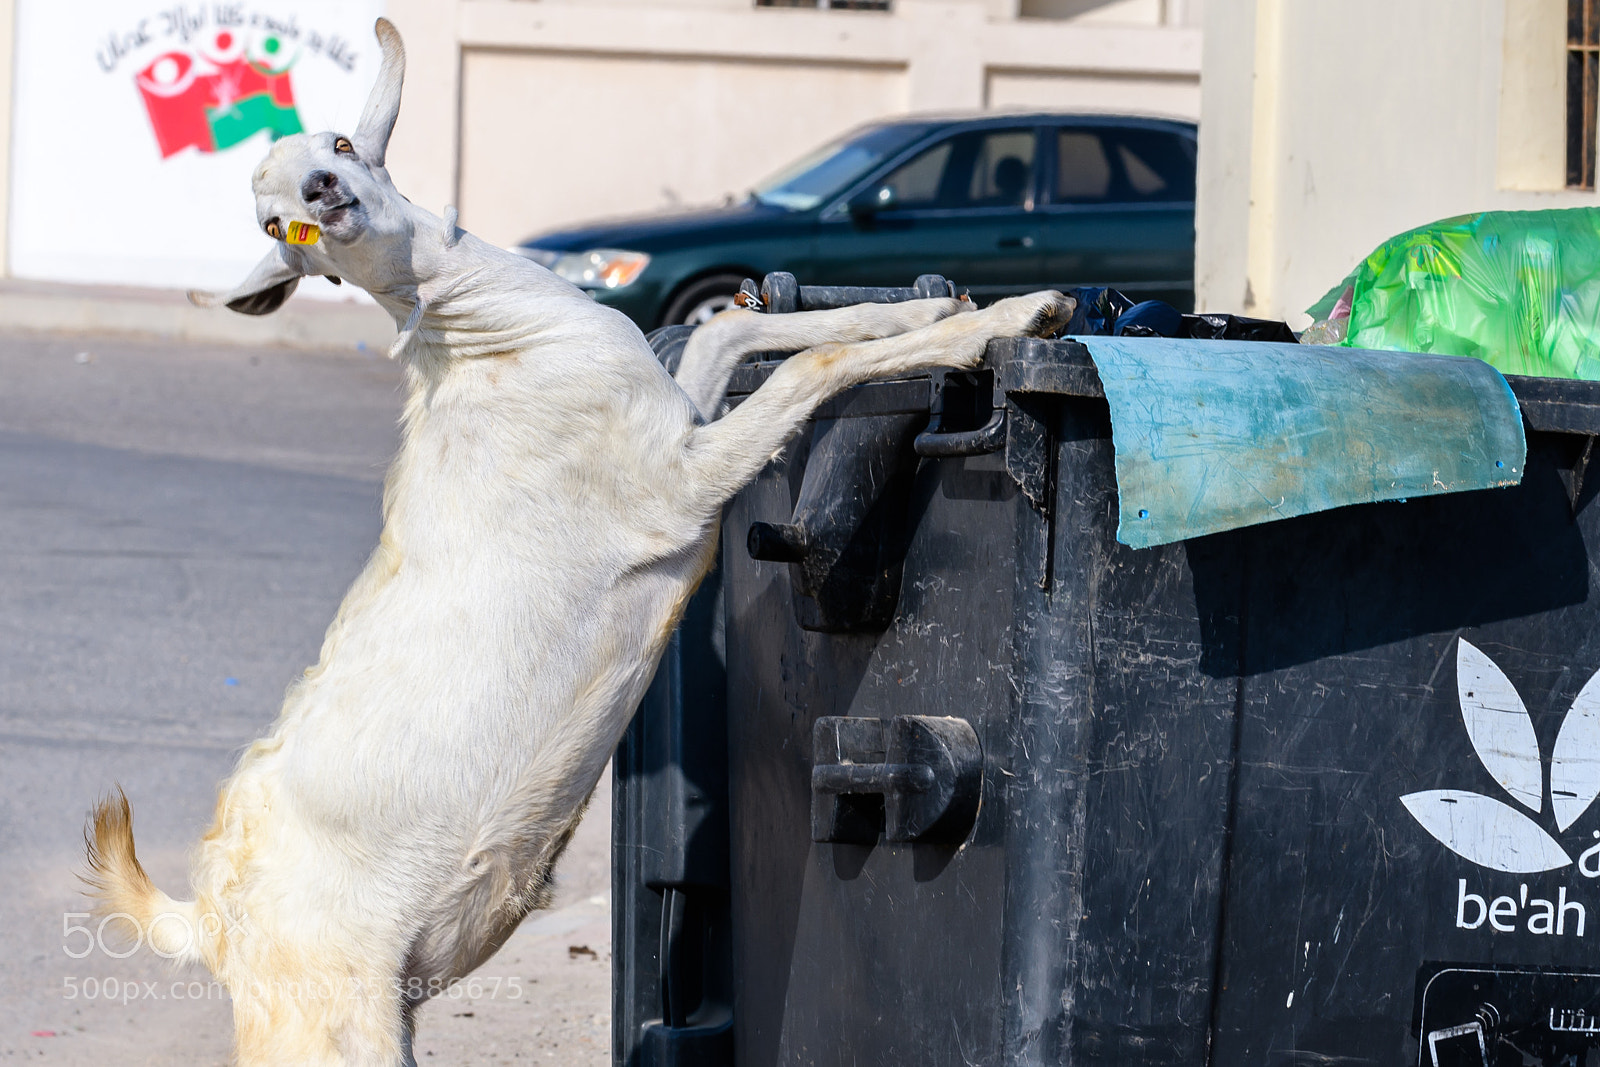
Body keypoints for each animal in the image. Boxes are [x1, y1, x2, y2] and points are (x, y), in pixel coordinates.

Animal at [82, 17, 1073, 1066]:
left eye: (341, 145)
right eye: (275, 229)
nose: (317, 195)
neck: (490, 341)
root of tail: (209, 921)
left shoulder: (680, 407)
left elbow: (747, 334)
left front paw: (939, 306)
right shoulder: (677, 483)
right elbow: (811, 368)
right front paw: (1016, 315)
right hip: (327, 1028)